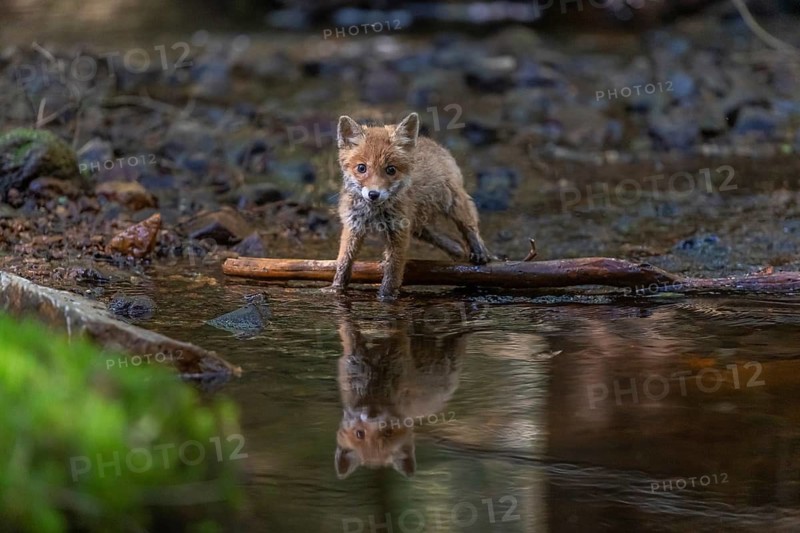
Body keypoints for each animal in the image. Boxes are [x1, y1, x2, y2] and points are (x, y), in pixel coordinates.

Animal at [327, 112, 492, 300]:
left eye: (391, 170)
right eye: (361, 168)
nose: (374, 194)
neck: (374, 213)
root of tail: (432, 143)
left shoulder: (398, 232)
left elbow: (393, 272)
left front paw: (386, 297)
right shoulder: (353, 226)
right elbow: (344, 262)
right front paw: (336, 289)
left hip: (452, 202)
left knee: (469, 224)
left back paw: (478, 249)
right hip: (419, 227)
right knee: (450, 241)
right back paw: (457, 252)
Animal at [334, 309, 465, 479]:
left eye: (388, 432)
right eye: (359, 434)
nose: (371, 415)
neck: (374, 389)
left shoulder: (399, 347)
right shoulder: (352, 357)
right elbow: (347, 325)